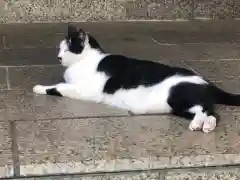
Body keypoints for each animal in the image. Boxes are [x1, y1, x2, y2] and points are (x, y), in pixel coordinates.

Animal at [32, 24, 240, 133]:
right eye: (59, 49)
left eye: (67, 49)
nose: (59, 57)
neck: (87, 60)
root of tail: (207, 82)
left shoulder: (84, 90)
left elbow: (58, 87)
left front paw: (39, 88)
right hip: (180, 108)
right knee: (213, 114)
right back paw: (205, 126)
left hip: (177, 96)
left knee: (206, 110)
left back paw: (198, 124)